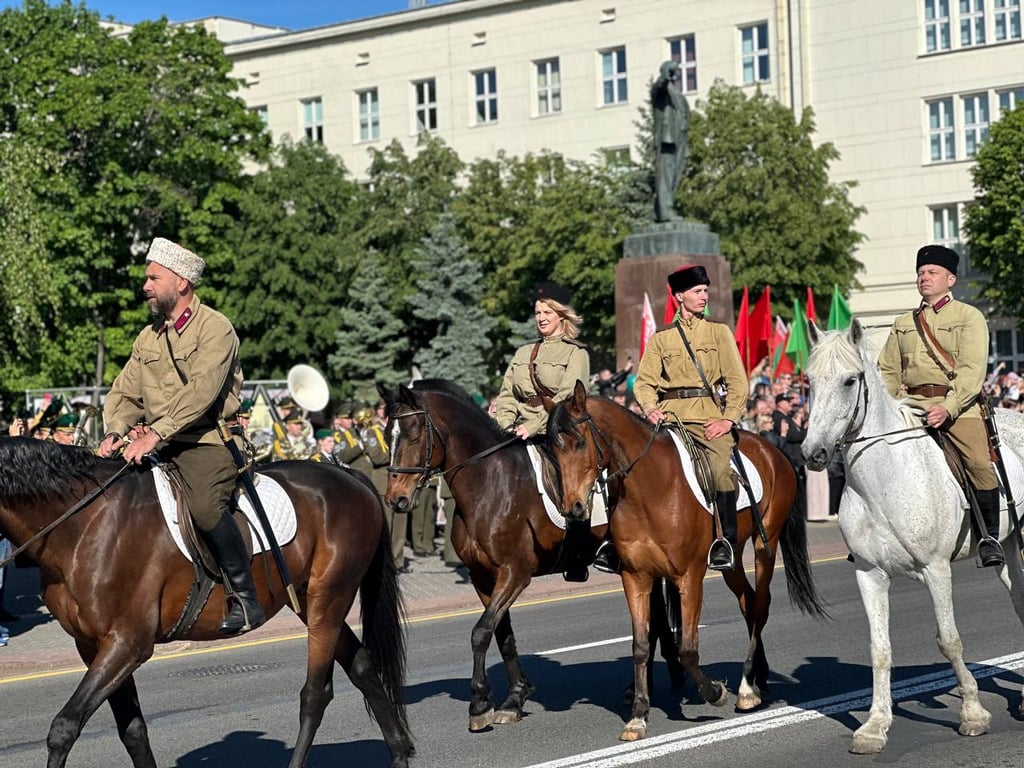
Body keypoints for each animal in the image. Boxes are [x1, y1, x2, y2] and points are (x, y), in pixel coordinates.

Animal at [0, 438, 411, 768]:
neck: (85, 522)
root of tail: (349, 476)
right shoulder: (93, 646)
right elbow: (133, 731)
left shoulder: (127, 644)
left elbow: (65, 727)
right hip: (310, 602)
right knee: (362, 668)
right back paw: (399, 753)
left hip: (330, 600)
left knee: (315, 694)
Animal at [380, 378, 684, 733]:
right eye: (387, 434)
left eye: (413, 433)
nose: (395, 499)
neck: (490, 483)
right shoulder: (483, 577)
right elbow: (503, 635)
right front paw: (514, 698)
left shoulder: (514, 574)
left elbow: (480, 633)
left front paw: (479, 703)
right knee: (656, 618)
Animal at [548, 382, 827, 741]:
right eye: (552, 451)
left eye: (580, 442)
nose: (573, 508)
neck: (648, 489)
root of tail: (772, 450)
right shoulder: (636, 578)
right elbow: (641, 644)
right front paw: (637, 715)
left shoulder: (689, 577)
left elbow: (688, 649)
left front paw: (714, 692)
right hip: (733, 559)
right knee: (749, 603)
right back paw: (757, 678)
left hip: (765, 544)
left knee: (761, 604)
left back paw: (747, 688)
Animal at [802, 319, 1024, 757]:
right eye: (809, 381)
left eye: (850, 380)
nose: (812, 453)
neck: (883, 481)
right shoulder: (869, 574)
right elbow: (880, 649)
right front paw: (874, 726)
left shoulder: (936, 569)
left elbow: (949, 640)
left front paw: (972, 714)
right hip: (1009, 549)